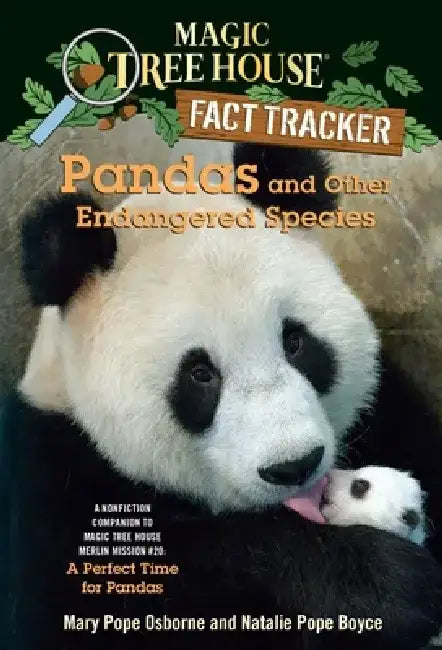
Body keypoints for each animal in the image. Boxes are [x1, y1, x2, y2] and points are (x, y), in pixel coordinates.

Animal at [1, 142, 442, 650]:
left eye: (295, 342)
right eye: (200, 374)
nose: (294, 465)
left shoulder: (389, 410)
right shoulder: (53, 477)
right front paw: (380, 584)